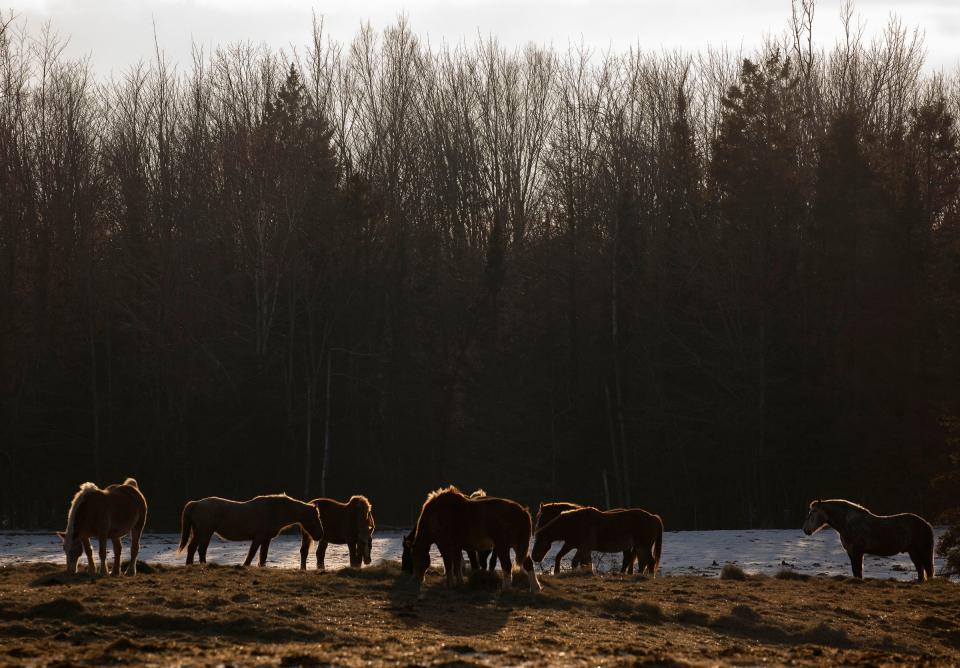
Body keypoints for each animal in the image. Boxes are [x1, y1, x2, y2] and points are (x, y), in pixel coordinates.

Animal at [179, 494, 326, 568]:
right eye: (315, 518)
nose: (320, 535)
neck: (274, 510)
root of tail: (196, 503)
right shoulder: (259, 537)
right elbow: (252, 553)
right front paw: (246, 565)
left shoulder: (266, 539)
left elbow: (263, 556)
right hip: (203, 533)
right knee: (193, 548)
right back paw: (190, 565)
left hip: (205, 534)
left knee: (200, 550)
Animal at [410, 486, 544, 596]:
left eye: (415, 558)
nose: (417, 579)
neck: (437, 514)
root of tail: (522, 511)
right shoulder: (456, 547)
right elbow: (457, 565)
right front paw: (459, 583)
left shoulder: (444, 545)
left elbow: (449, 565)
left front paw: (450, 584)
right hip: (518, 545)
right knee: (528, 564)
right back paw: (535, 588)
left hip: (503, 546)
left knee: (507, 566)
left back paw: (506, 589)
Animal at [528, 506, 664, 576]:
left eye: (540, 540)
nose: (534, 557)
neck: (575, 523)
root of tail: (653, 517)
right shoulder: (572, 544)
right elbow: (560, 557)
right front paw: (557, 571)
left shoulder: (584, 547)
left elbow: (575, 562)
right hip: (640, 547)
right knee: (642, 562)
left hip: (644, 546)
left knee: (650, 562)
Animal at [800, 496, 932, 580]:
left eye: (812, 513)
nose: (805, 530)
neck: (848, 523)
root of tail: (925, 523)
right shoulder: (851, 552)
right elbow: (855, 571)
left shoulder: (857, 551)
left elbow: (858, 570)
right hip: (913, 552)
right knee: (921, 571)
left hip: (922, 552)